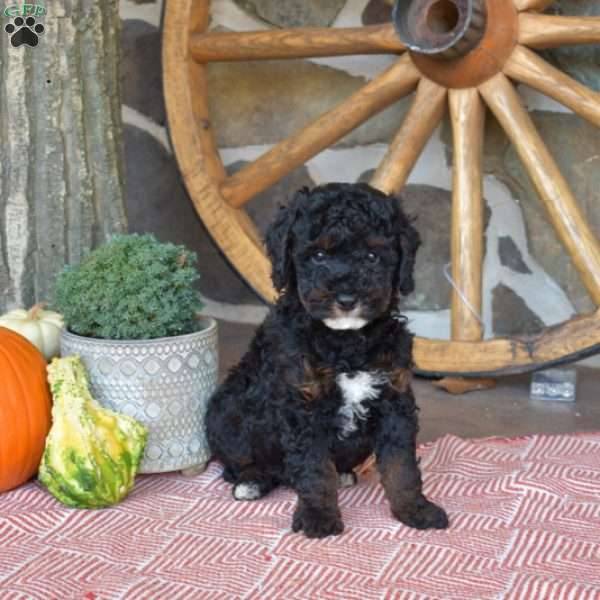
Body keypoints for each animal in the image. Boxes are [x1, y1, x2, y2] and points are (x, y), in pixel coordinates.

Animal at [204, 183, 448, 540]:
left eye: (372, 256)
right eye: (318, 256)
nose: (346, 299)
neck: (345, 343)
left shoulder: (394, 399)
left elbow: (401, 466)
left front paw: (415, 509)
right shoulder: (304, 407)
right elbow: (315, 469)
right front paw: (318, 515)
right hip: (227, 411)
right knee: (240, 465)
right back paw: (252, 482)